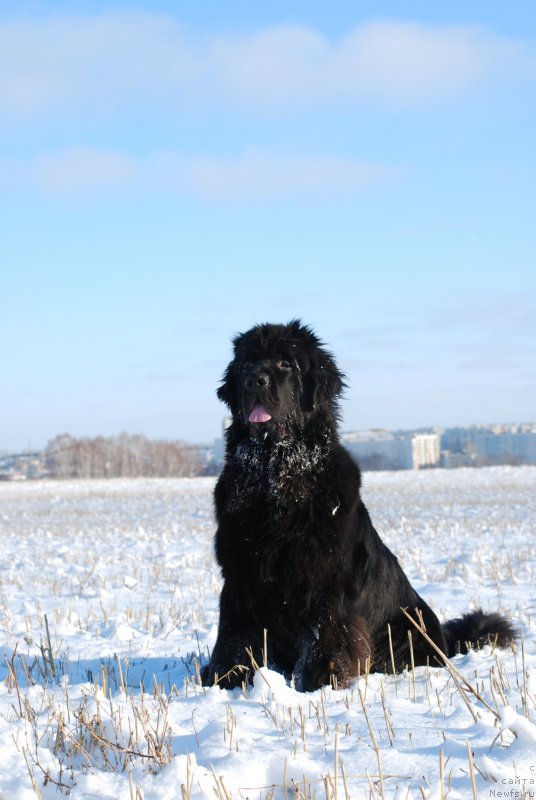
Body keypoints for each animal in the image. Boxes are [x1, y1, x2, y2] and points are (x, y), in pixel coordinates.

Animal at [201, 322, 516, 692]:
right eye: (246, 364)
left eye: (285, 364)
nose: (255, 381)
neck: (274, 476)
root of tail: (444, 641)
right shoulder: (240, 575)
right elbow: (234, 635)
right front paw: (225, 677)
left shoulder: (325, 581)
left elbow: (326, 635)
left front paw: (323, 681)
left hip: (407, 624)